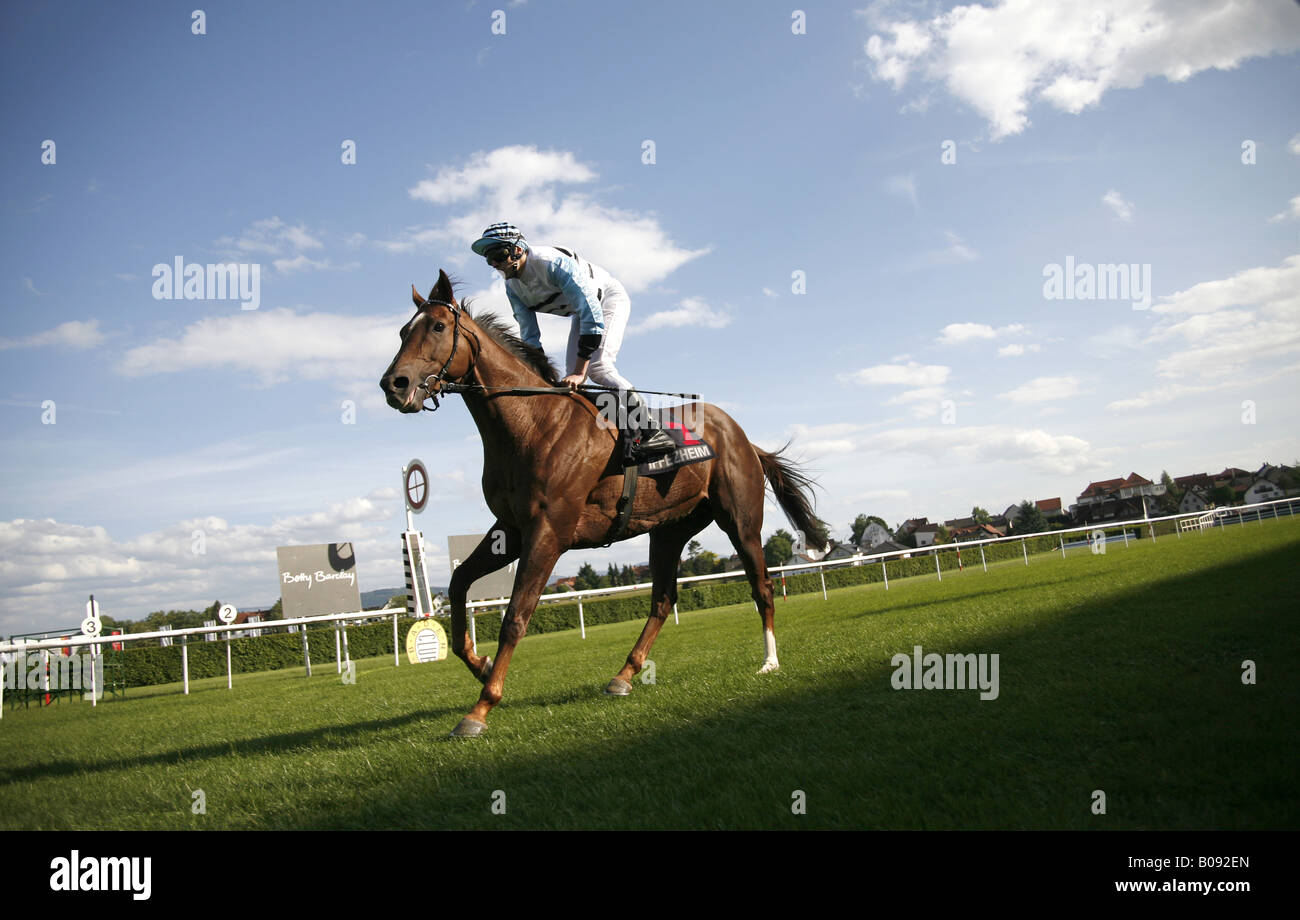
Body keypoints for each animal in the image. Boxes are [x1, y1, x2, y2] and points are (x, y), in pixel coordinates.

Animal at [377, 268, 826, 738]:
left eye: (437, 327)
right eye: (403, 331)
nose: (394, 384)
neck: (532, 424)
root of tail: (742, 436)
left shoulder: (548, 533)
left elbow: (515, 616)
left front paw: (481, 707)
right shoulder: (510, 529)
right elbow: (460, 584)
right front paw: (480, 664)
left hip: (740, 521)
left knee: (762, 587)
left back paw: (769, 660)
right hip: (668, 530)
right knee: (663, 600)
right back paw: (624, 675)